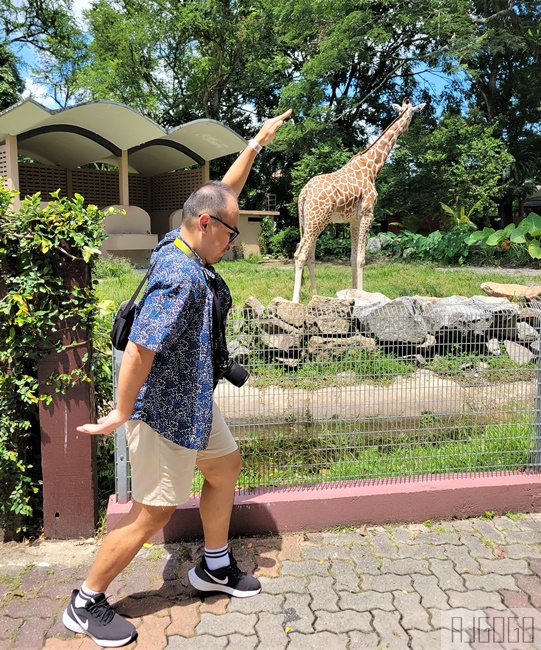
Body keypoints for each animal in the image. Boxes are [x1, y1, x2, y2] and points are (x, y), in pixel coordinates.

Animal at [294, 98, 424, 302]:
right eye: (412, 114)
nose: (406, 129)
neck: (372, 167)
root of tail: (303, 194)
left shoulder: (353, 219)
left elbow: (352, 257)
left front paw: (354, 294)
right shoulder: (367, 213)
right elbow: (361, 259)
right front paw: (363, 295)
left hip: (310, 220)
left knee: (309, 255)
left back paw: (315, 296)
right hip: (318, 219)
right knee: (300, 254)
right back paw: (295, 301)